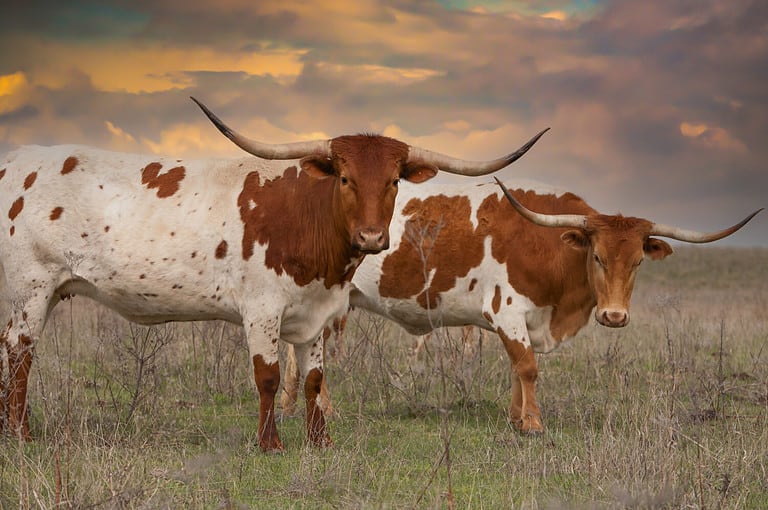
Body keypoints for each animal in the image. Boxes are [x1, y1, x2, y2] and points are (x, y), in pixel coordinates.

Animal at [0, 97, 548, 451]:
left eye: (394, 180)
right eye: (344, 178)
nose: (372, 238)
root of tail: (18, 160)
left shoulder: (319, 312)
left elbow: (313, 378)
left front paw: (320, 441)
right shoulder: (261, 309)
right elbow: (267, 377)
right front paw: (270, 444)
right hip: (32, 288)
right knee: (20, 352)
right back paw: (21, 435)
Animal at [282, 177, 761, 433]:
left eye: (639, 261)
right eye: (598, 256)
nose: (614, 316)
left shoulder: (526, 321)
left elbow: (517, 368)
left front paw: (517, 417)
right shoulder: (507, 311)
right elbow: (528, 366)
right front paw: (532, 424)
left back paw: (298, 406)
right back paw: (320, 408)